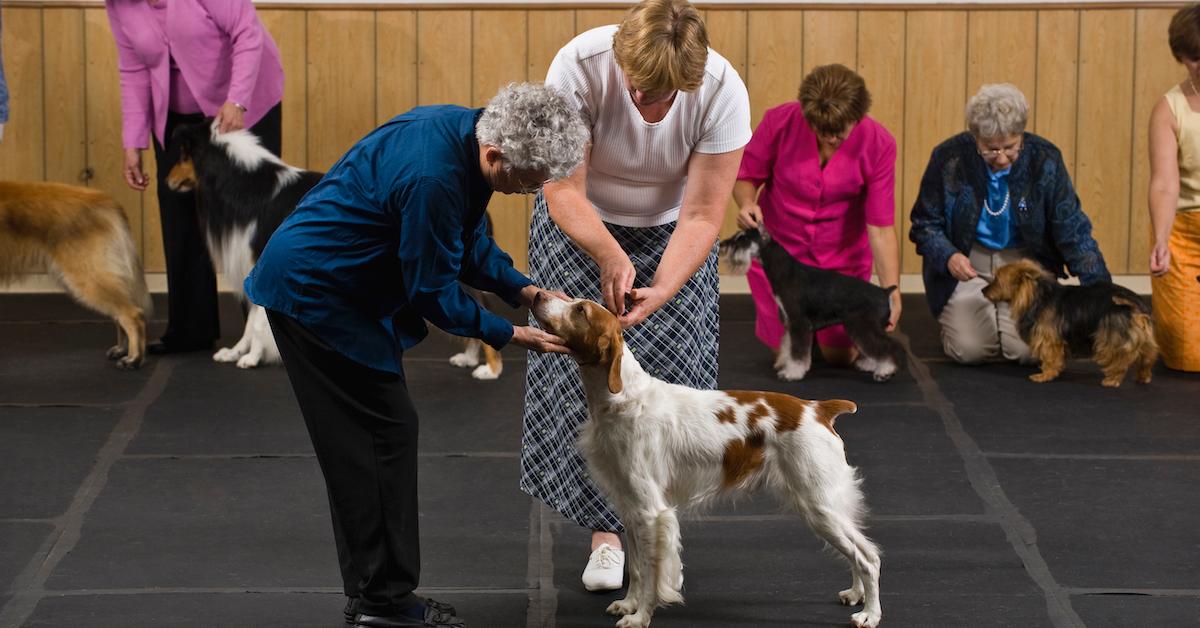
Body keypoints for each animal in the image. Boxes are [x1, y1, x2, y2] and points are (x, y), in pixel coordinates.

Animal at [0, 180, 152, 369]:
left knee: (133, 315)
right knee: (121, 314)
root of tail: (107, 200)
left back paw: (134, 359)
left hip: (88, 277)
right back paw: (122, 350)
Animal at [166, 121, 324, 369]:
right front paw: (235, 352)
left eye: (184, 155)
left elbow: (258, 322)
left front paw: (252, 357)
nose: (167, 180)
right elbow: (250, 322)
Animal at [532, 295, 883, 628]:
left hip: (819, 503)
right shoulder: (631, 508)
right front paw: (628, 604)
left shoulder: (652, 512)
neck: (622, 398)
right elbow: (639, 568)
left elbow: (652, 571)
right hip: (826, 504)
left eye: (580, 310)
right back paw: (855, 595)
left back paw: (869, 614)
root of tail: (819, 408)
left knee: (868, 558)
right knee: (858, 552)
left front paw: (640, 617)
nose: (537, 295)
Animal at [720, 226, 902, 384]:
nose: (722, 245)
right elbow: (788, 345)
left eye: (743, 239)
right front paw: (785, 363)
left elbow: (798, 352)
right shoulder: (789, 321)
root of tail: (884, 292)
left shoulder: (799, 323)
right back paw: (870, 365)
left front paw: (791, 373)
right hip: (865, 327)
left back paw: (884, 371)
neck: (784, 271)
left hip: (863, 326)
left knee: (885, 346)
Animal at [984, 259, 1152, 389]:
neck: (1039, 297)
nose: (983, 290)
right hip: (1145, 340)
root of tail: (1133, 301)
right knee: (1146, 358)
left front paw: (1045, 375)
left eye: (997, 279)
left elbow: (1050, 357)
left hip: (1112, 337)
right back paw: (1143, 377)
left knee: (1120, 359)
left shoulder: (1048, 339)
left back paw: (1112, 379)